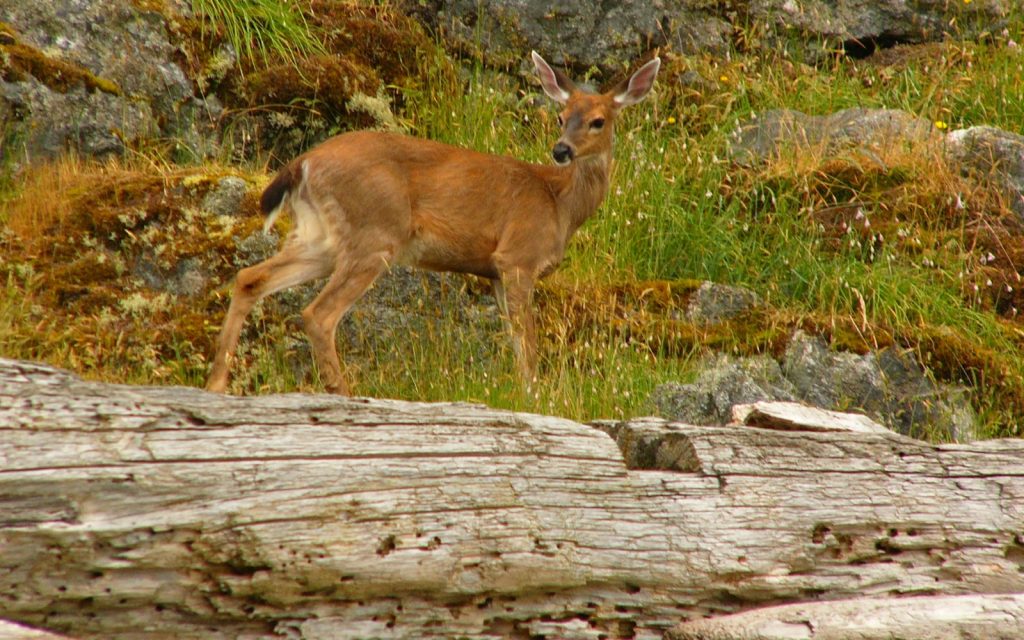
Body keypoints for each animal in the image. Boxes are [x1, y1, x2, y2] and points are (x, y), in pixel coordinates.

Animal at [203, 51, 659, 395]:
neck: (559, 203)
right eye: (562, 116)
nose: (561, 150)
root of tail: (304, 163)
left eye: (598, 120)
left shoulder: (495, 271)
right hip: (375, 234)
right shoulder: (517, 257)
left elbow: (516, 342)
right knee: (318, 314)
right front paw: (535, 396)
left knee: (249, 277)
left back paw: (216, 383)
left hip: (320, 237)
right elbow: (528, 344)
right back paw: (344, 394)